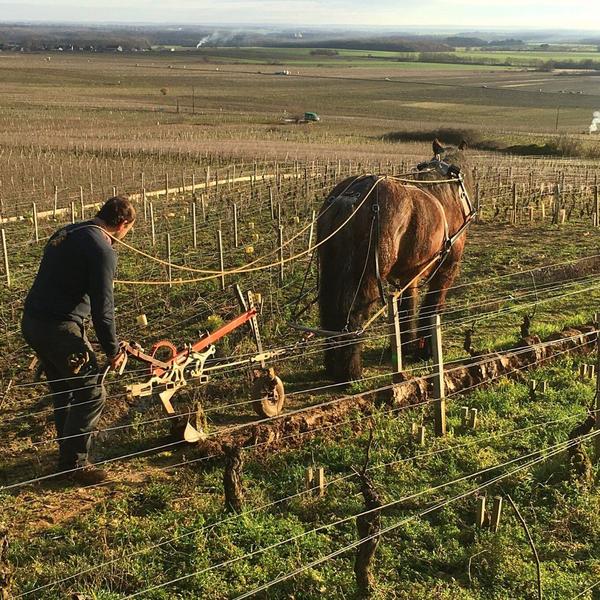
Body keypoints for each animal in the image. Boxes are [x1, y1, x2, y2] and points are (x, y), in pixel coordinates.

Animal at [318, 152, 474, 382]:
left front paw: (407, 345)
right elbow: (432, 308)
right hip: (366, 276)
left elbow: (407, 306)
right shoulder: (447, 268)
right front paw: (426, 350)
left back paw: (331, 367)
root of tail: (349, 197)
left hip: (330, 270)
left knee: (329, 313)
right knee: (353, 315)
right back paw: (350, 372)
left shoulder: (409, 274)